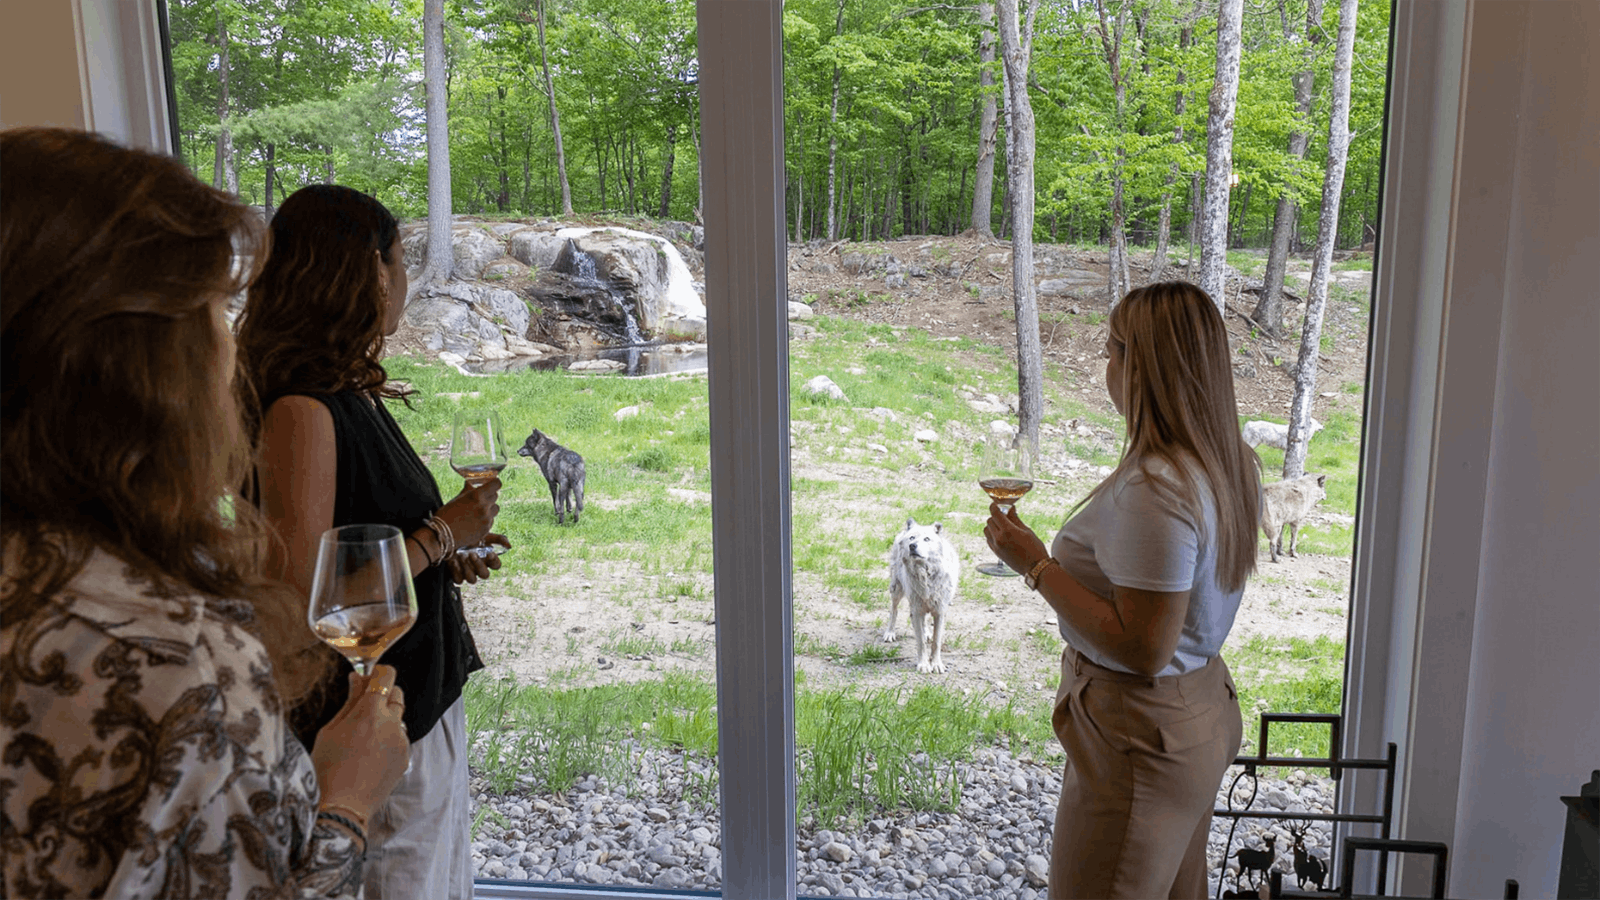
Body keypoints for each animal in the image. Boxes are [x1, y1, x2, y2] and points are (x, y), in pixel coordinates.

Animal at [883, 515, 953, 669]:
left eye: (926, 539)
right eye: (912, 538)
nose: (912, 546)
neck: (925, 575)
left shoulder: (940, 611)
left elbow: (936, 642)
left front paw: (936, 664)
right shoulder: (916, 609)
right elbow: (921, 642)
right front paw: (924, 665)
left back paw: (926, 632)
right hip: (897, 590)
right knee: (893, 610)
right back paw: (890, 633)